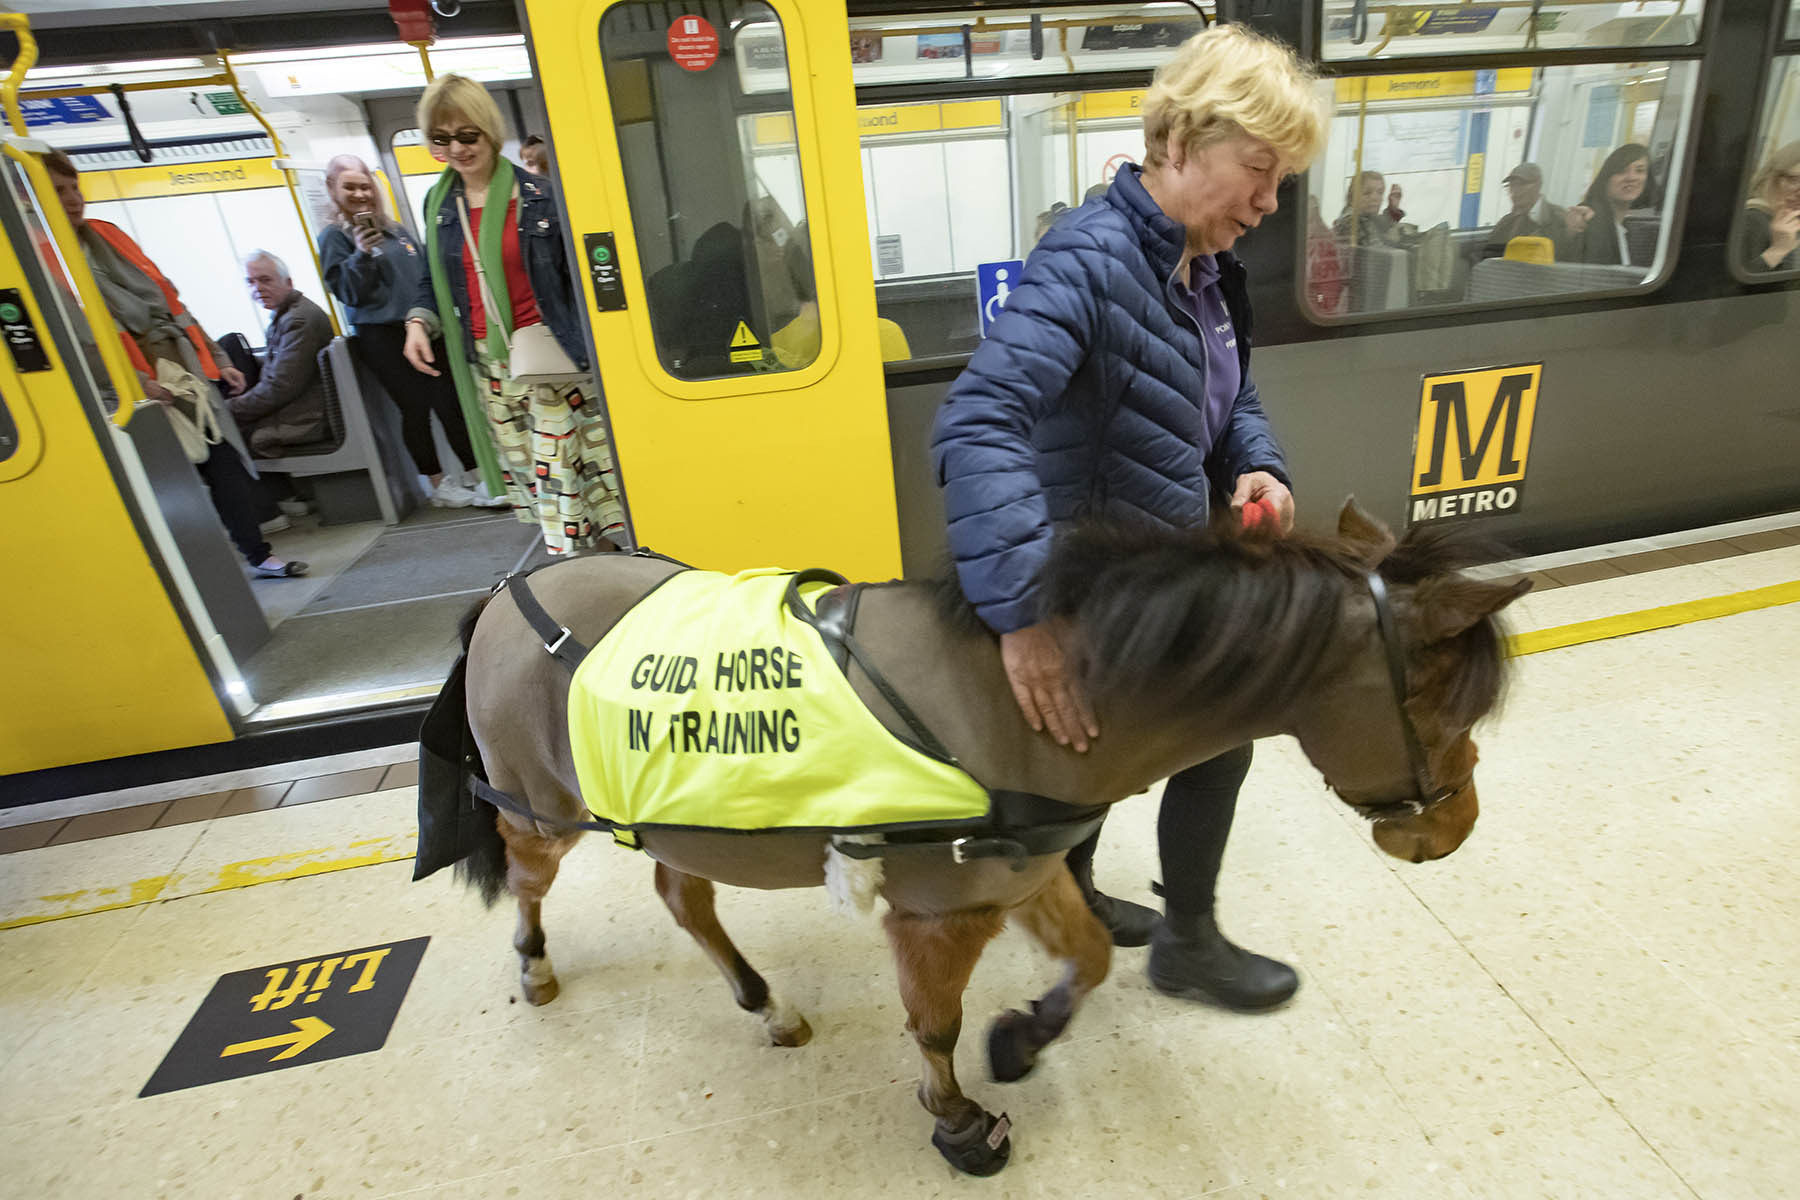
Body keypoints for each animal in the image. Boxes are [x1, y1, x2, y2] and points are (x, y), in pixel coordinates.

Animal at [446, 496, 1519, 1173]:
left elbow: (1089, 960)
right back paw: (535, 963)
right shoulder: (937, 913)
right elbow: (935, 1027)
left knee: (682, 894)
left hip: (674, 826)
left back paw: (766, 1004)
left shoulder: (1025, 879)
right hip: (541, 808)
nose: (1454, 829)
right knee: (529, 877)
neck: (1025, 705)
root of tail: (504, 596)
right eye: (1442, 702)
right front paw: (959, 1119)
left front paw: (1024, 1038)